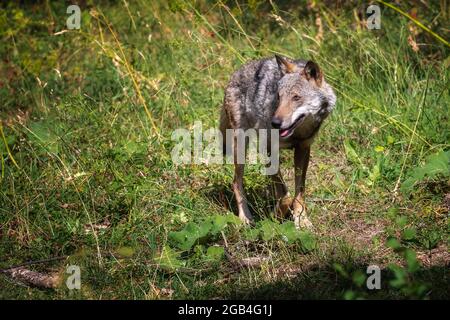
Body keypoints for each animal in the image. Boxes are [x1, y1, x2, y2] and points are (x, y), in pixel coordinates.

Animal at [220, 55, 336, 230]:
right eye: (279, 97)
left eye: (296, 97)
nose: (274, 123)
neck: (297, 133)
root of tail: (236, 73)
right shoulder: (267, 148)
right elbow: (285, 195)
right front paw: (276, 215)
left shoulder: (303, 148)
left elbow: (298, 191)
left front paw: (301, 219)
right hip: (240, 148)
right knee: (236, 182)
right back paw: (245, 217)